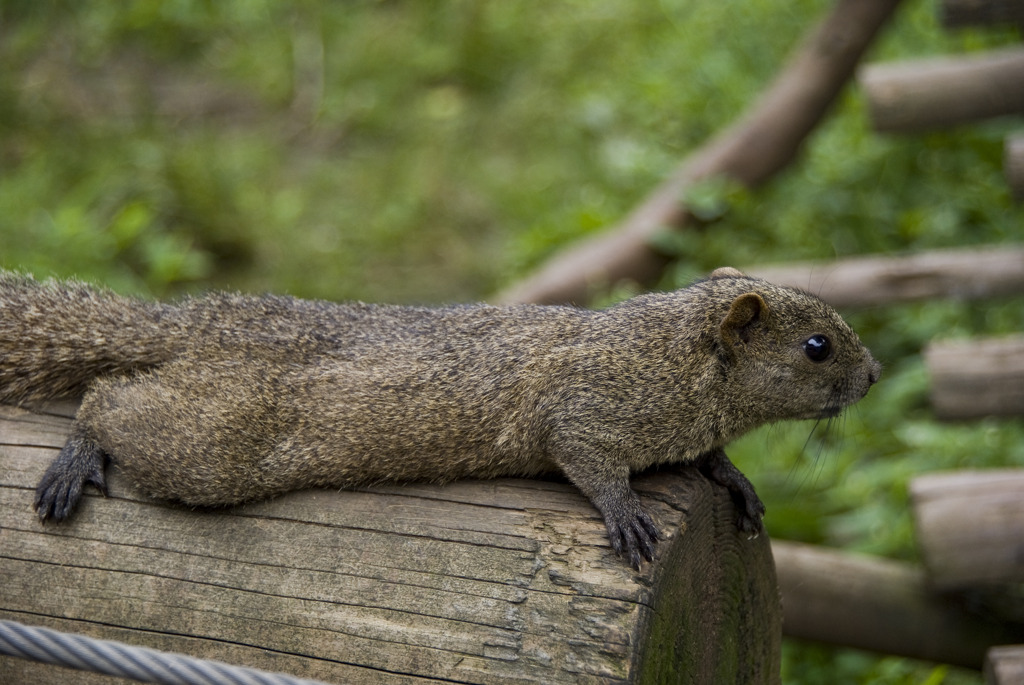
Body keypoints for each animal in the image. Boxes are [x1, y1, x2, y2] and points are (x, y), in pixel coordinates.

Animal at [0, 266, 880, 565]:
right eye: (817, 346)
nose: (873, 374)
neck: (675, 358)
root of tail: (194, 324)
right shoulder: (586, 402)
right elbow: (588, 458)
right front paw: (626, 513)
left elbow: (708, 458)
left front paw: (734, 480)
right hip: (215, 441)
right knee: (107, 399)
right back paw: (75, 459)